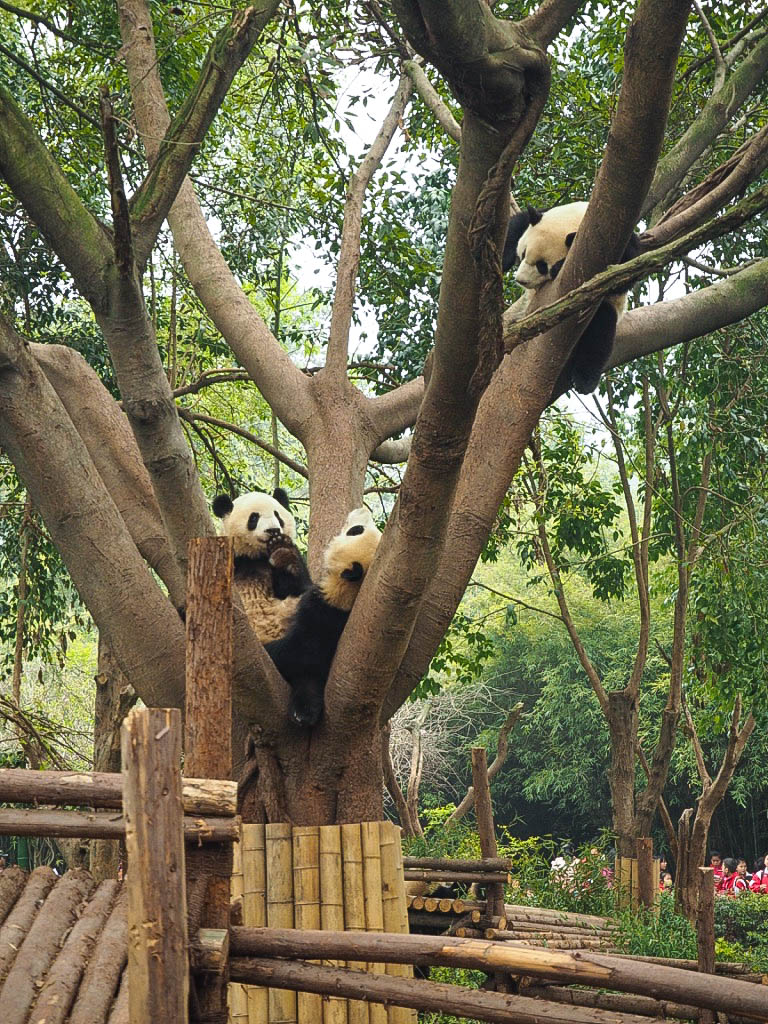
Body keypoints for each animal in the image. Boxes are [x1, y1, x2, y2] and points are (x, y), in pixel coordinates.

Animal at [211, 485, 311, 638]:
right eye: (254, 517)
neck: (255, 557)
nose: (273, 530)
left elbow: (296, 586)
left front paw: (282, 552)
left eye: (277, 515)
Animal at [266, 503, 382, 729]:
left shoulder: (319, 614)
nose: (363, 509)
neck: (348, 593)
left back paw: (302, 713)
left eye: (356, 531)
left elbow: (295, 651)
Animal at [505, 201, 643, 393]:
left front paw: (558, 267)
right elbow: (516, 225)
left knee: (600, 330)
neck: (581, 223)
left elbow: (626, 271)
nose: (520, 280)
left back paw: (584, 381)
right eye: (524, 253)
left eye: (542, 266)